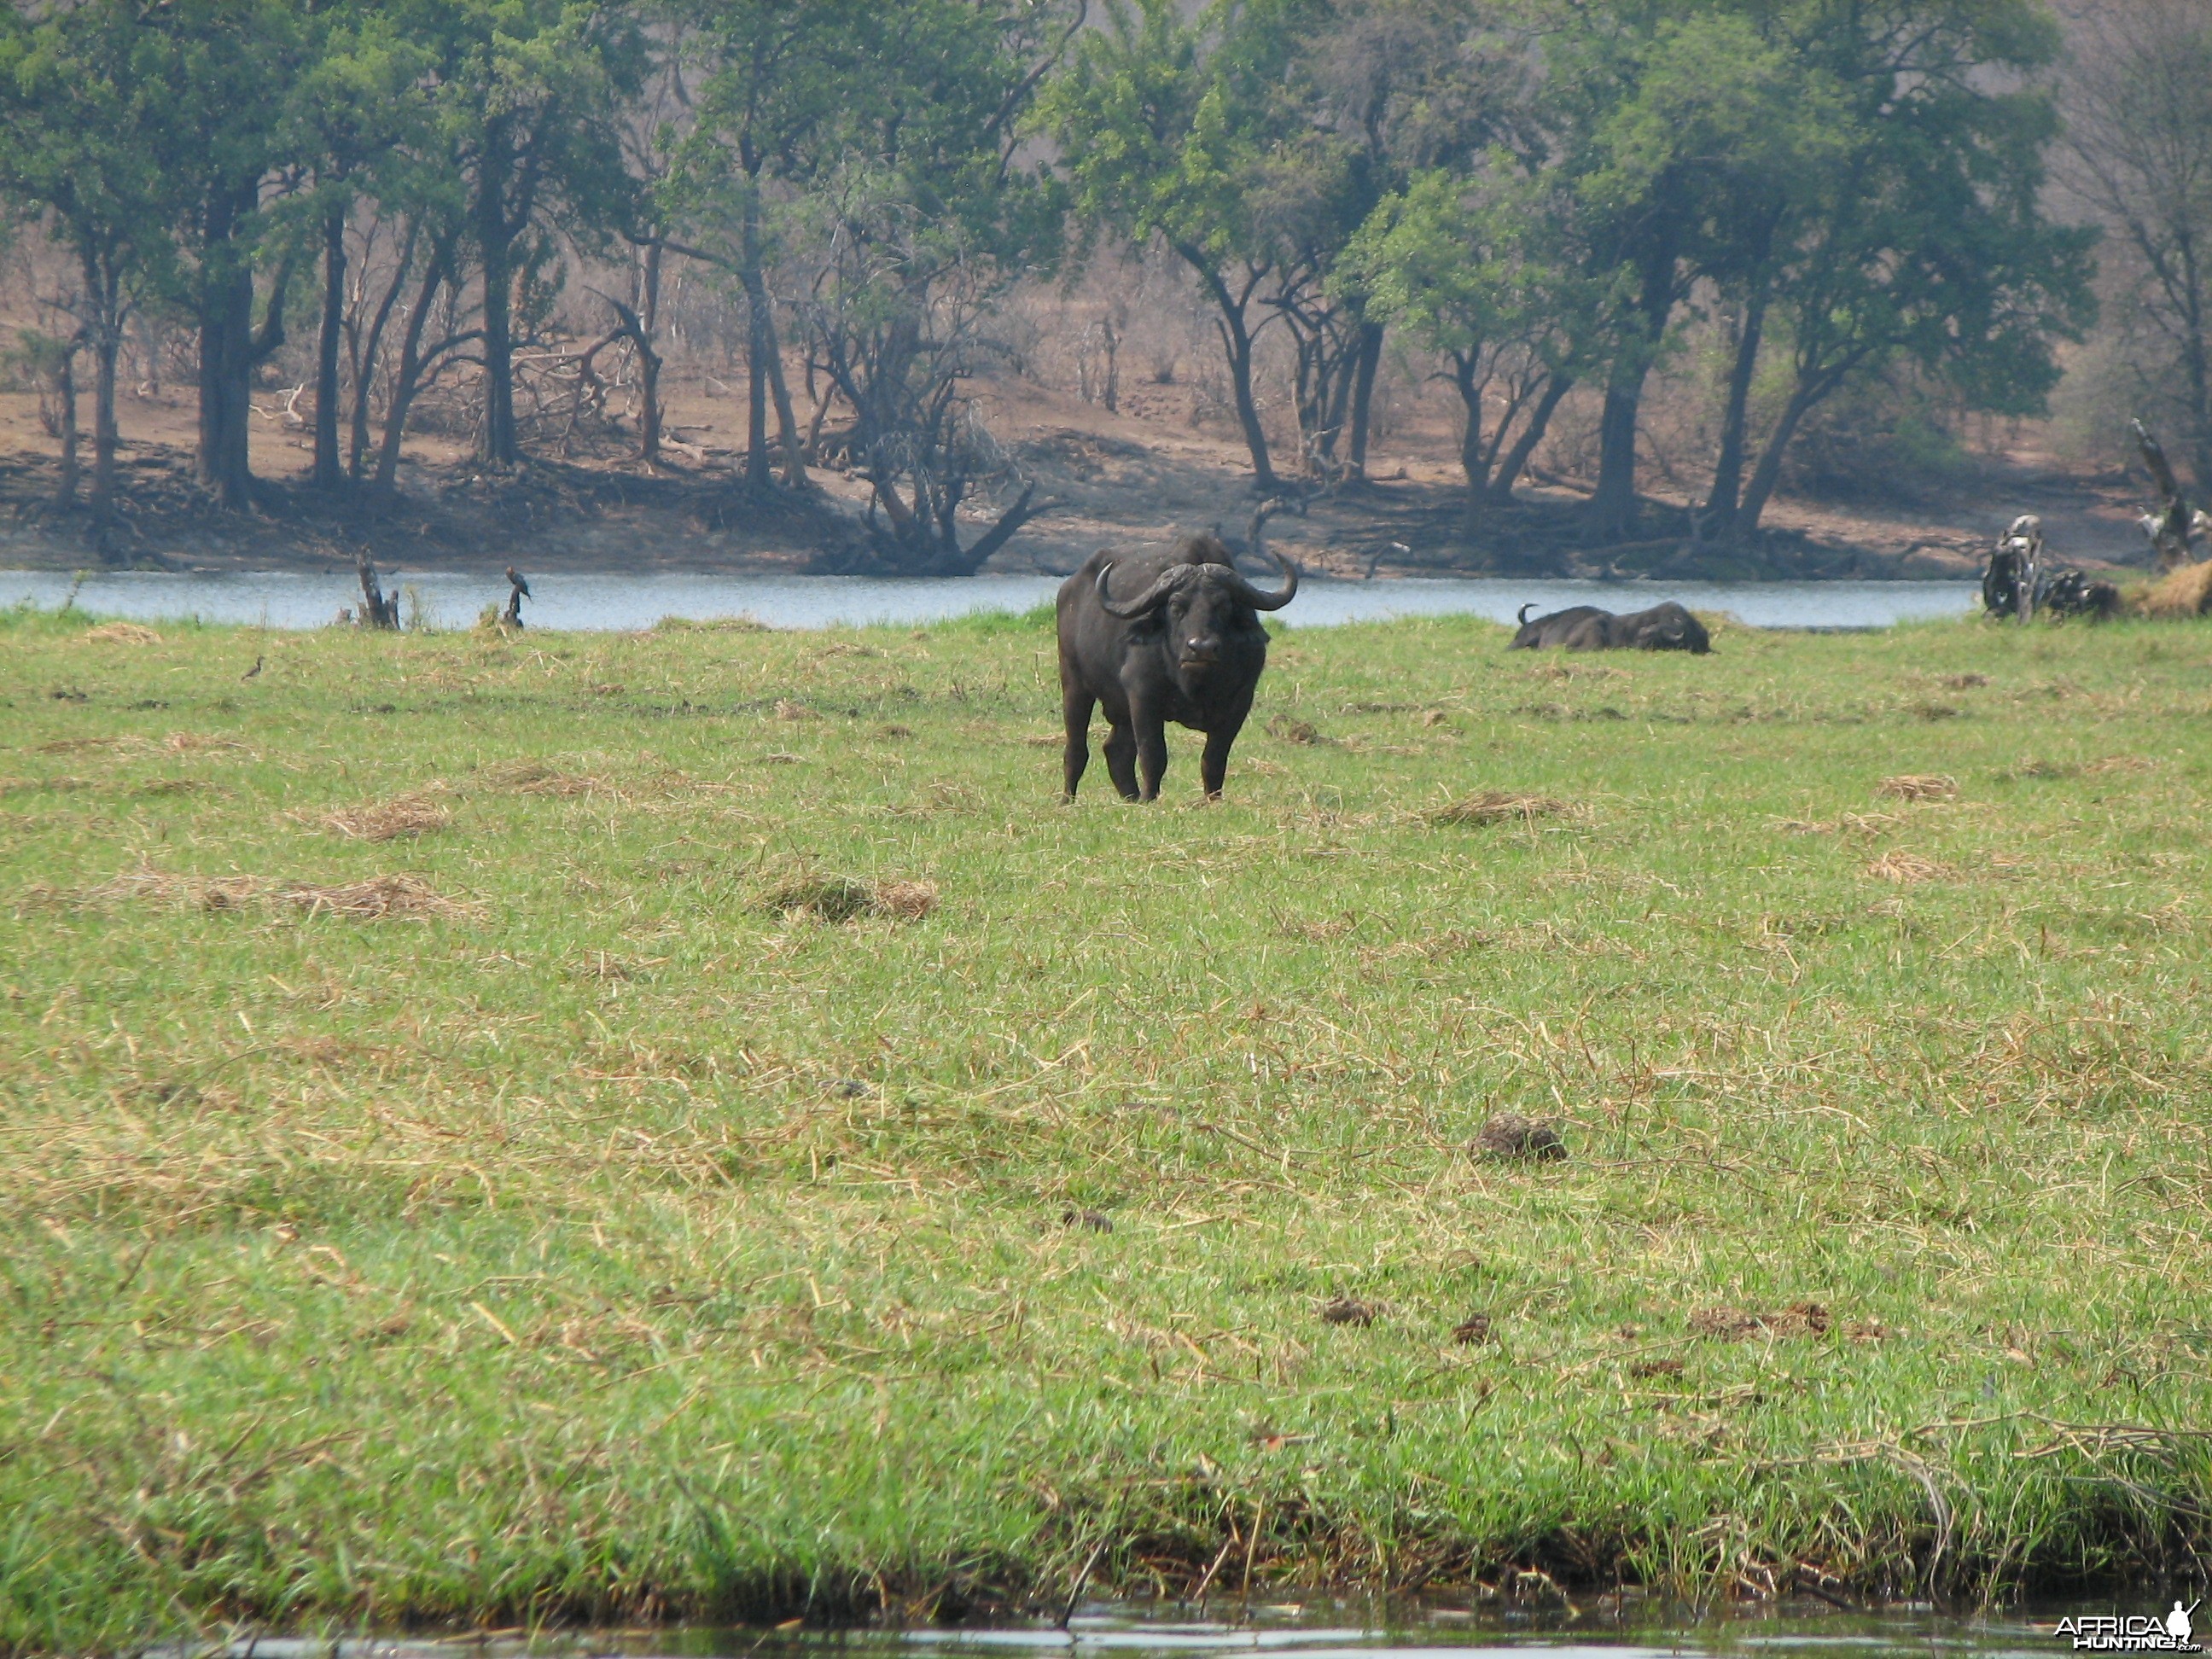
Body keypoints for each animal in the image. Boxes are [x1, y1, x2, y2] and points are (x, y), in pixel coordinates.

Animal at [1052, 517, 1291, 809]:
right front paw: (1150, 798)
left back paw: (1131, 797)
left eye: (1223, 605)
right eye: (1176, 606)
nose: (1201, 647)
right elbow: (1153, 755)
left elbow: (1214, 759)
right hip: (1074, 683)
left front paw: (1212, 800)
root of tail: (1069, 589)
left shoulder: (1239, 703)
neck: (1194, 683)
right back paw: (1068, 800)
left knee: (1116, 749)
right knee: (1076, 749)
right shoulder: (1143, 697)